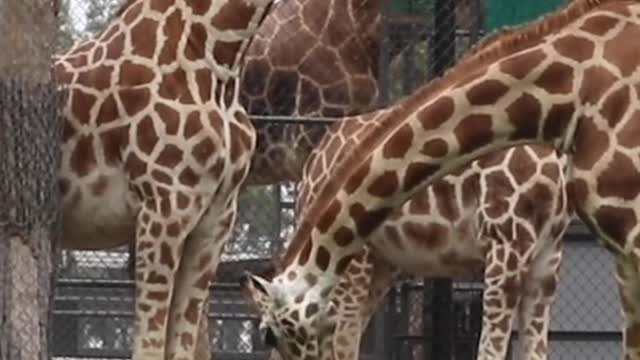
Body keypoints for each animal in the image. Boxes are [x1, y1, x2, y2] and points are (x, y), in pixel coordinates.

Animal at [239, 0, 640, 358]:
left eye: (268, 334)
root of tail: (315, 165)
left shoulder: (546, 255)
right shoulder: (510, 243)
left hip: (378, 262)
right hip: (368, 260)